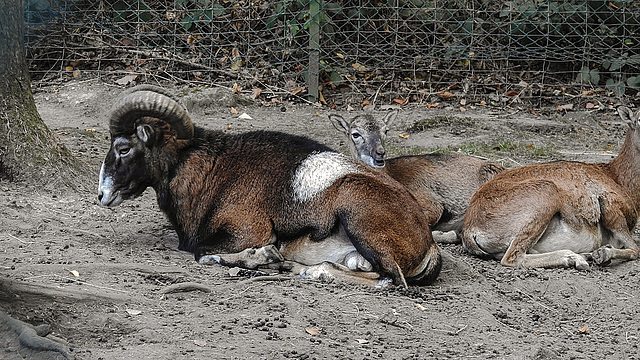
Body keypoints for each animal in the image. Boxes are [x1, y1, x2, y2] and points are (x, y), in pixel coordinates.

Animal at [97, 85, 442, 286]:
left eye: (123, 147)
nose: (102, 195)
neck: (211, 172)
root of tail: (426, 242)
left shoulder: (249, 232)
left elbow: (202, 252)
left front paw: (266, 257)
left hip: (357, 213)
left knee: (390, 280)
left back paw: (305, 270)